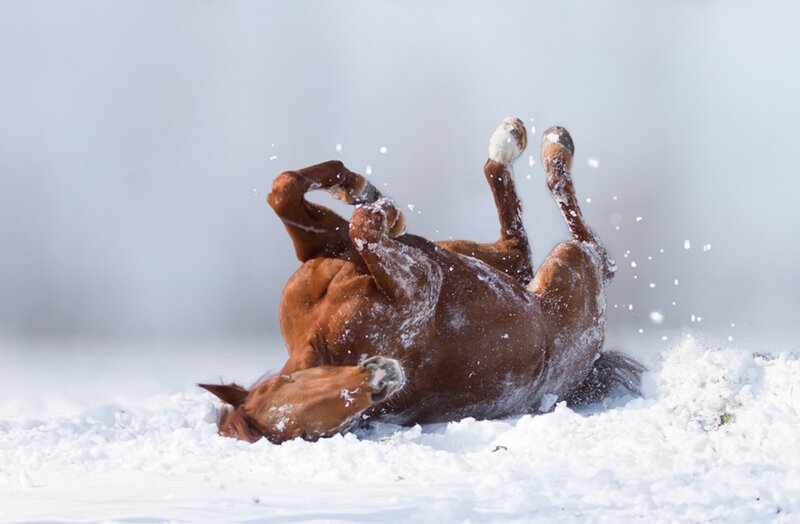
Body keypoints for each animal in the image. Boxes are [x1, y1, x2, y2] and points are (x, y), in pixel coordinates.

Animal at [200, 118, 644, 443]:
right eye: (310, 430)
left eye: (293, 381)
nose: (380, 376)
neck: (321, 334)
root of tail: (590, 367)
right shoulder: (420, 283)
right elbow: (363, 226)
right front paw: (383, 210)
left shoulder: (328, 247)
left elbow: (286, 190)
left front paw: (363, 191)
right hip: (568, 265)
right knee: (583, 251)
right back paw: (546, 146)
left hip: (480, 257)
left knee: (519, 248)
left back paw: (515, 140)